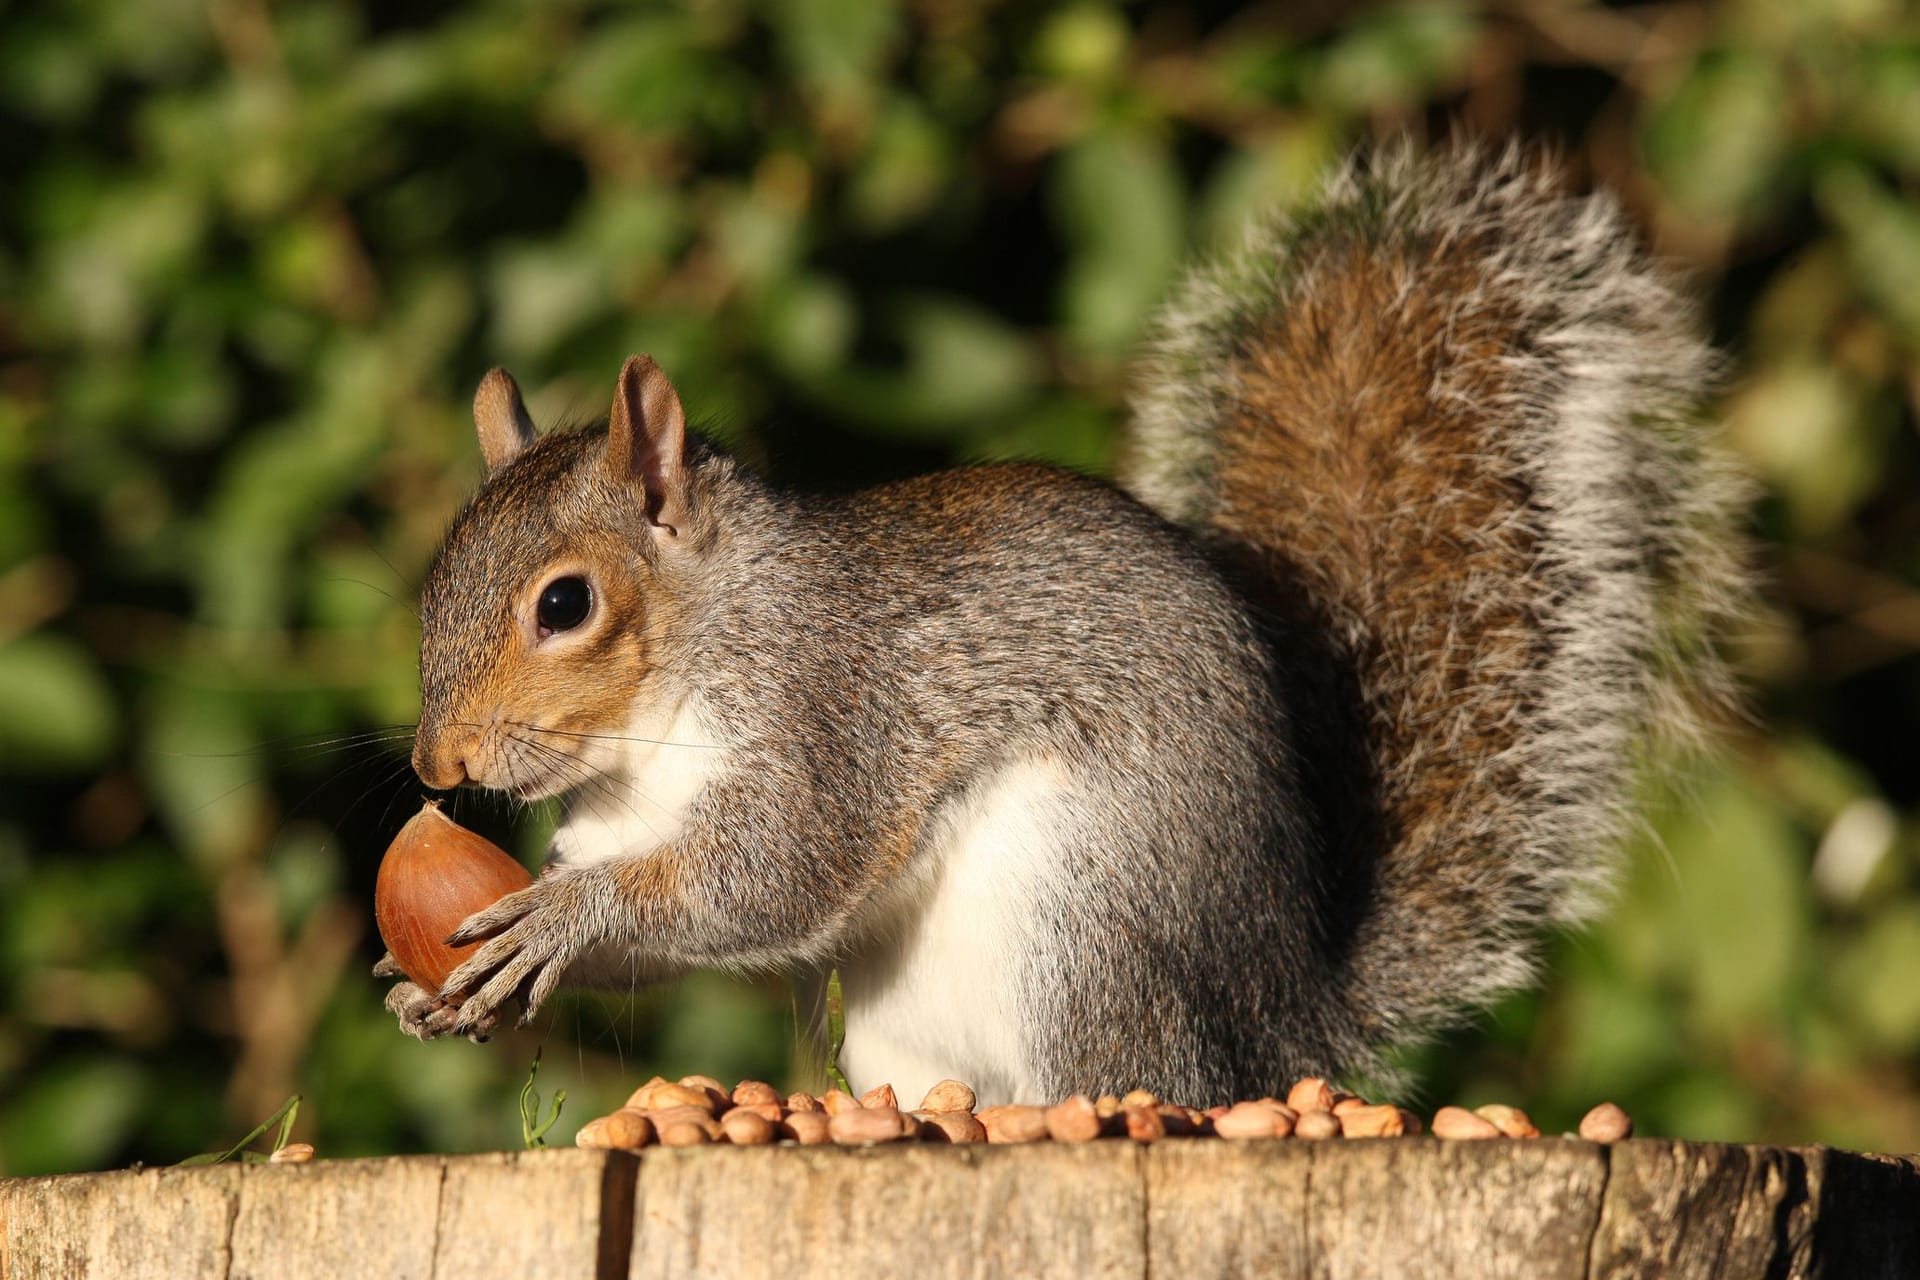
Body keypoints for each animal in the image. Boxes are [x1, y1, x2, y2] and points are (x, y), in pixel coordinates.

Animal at [382, 144, 1751, 1113]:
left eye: (566, 603)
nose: (435, 767)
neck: (659, 712)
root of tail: (1280, 1027)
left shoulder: (829, 710)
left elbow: (770, 873)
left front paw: (566, 921)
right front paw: (443, 985)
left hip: (1080, 928)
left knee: (1122, 1079)